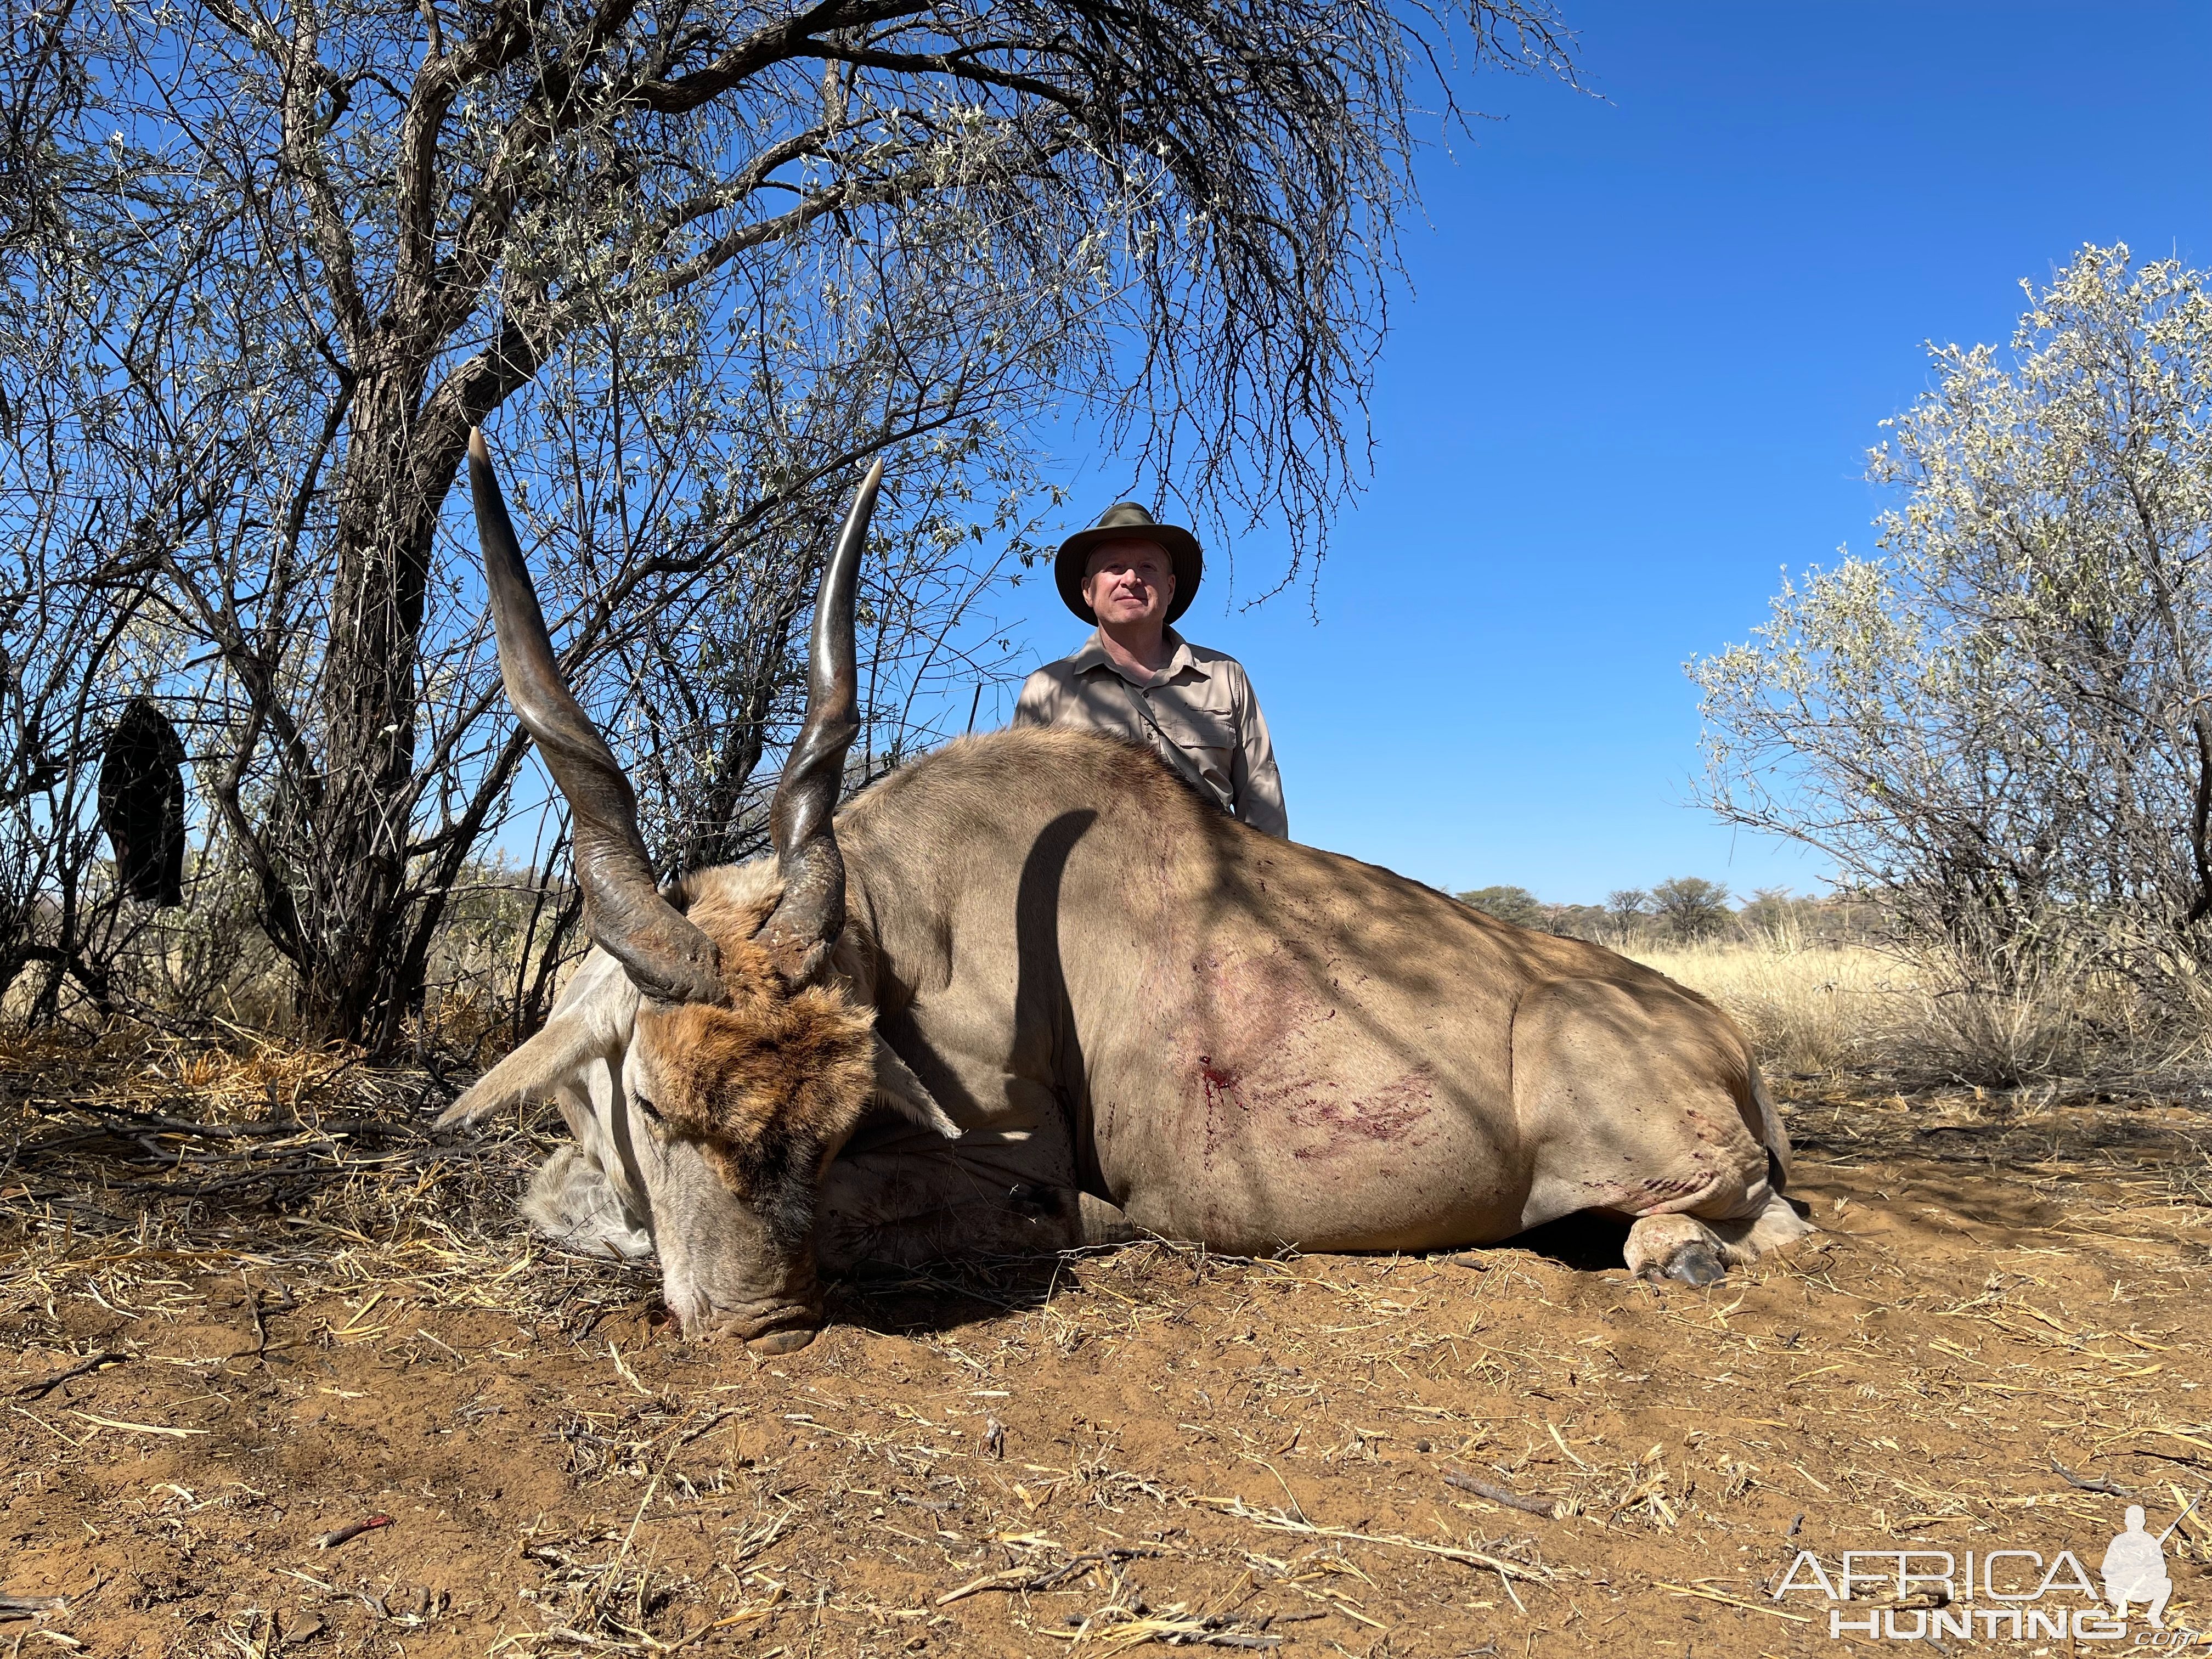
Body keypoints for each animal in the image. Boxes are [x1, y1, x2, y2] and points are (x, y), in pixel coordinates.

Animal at [440, 436, 1805, 1353]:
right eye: (653, 1104)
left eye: (826, 1125)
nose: (761, 1322)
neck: (898, 925)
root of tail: (1722, 1034)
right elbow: (552, 1195)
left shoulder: (1012, 1168)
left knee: (1759, 1224)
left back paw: (1680, 1252)